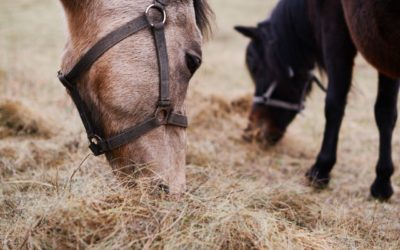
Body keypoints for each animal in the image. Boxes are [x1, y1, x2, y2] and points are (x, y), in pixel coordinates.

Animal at [236, 0, 398, 199]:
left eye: (254, 66)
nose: (251, 132)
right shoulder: (382, 52)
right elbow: (385, 112)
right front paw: (382, 181)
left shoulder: (336, 31)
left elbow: (334, 104)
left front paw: (321, 169)